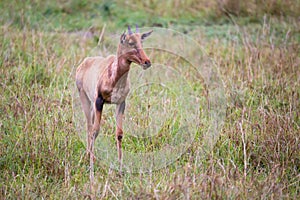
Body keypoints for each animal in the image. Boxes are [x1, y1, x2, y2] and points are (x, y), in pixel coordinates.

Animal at [75, 24, 154, 180]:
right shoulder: (99, 101)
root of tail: (84, 62)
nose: (146, 62)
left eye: (141, 42)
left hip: (92, 105)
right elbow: (95, 131)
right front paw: (91, 173)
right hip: (85, 99)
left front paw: (120, 170)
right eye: (130, 42)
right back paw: (88, 157)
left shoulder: (121, 103)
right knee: (89, 127)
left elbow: (119, 134)